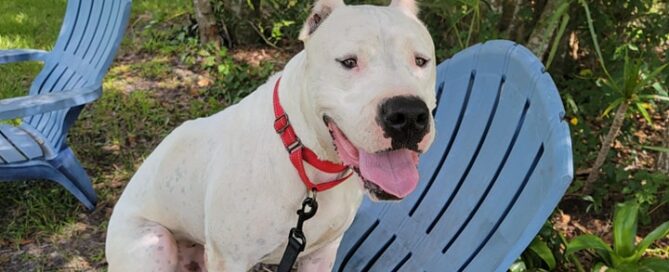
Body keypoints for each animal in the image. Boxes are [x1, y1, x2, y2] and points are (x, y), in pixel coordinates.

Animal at [105, 1, 436, 270]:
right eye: (349, 61)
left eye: (421, 61)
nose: (407, 115)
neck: (304, 157)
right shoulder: (230, 259)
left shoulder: (321, 255)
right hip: (153, 244)